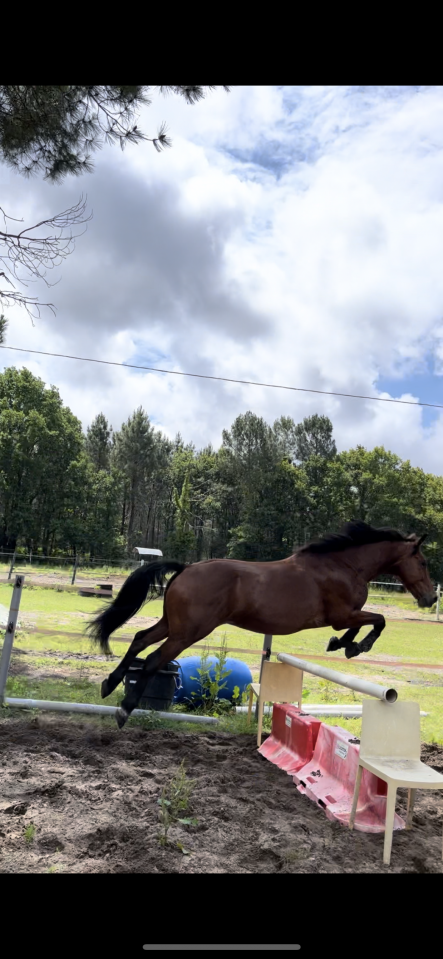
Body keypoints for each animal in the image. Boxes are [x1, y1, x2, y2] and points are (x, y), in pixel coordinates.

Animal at [86, 521, 437, 729]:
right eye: (422, 562)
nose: (431, 598)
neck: (344, 565)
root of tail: (186, 568)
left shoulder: (344, 617)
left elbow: (359, 627)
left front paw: (342, 645)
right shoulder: (342, 615)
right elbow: (378, 621)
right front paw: (355, 646)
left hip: (173, 624)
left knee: (139, 640)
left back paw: (110, 684)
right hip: (189, 631)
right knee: (154, 659)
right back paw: (124, 710)